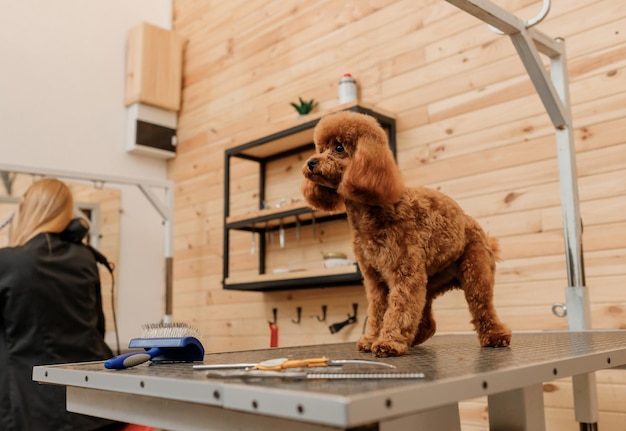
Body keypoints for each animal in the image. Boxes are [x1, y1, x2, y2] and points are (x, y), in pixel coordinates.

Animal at [302, 111, 512, 358]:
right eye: (320, 148)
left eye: (338, 147)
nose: (311, 162)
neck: (368, 212)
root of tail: (476, 227)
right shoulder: (374, 279)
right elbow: (378, 310)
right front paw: (372, 339)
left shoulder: (405, 272)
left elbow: (400, 307)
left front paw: (389, 342)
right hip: (429, 282)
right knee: (427, 320)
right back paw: (414, 337)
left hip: (475, 274)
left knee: (482, 306)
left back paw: (495, 336)